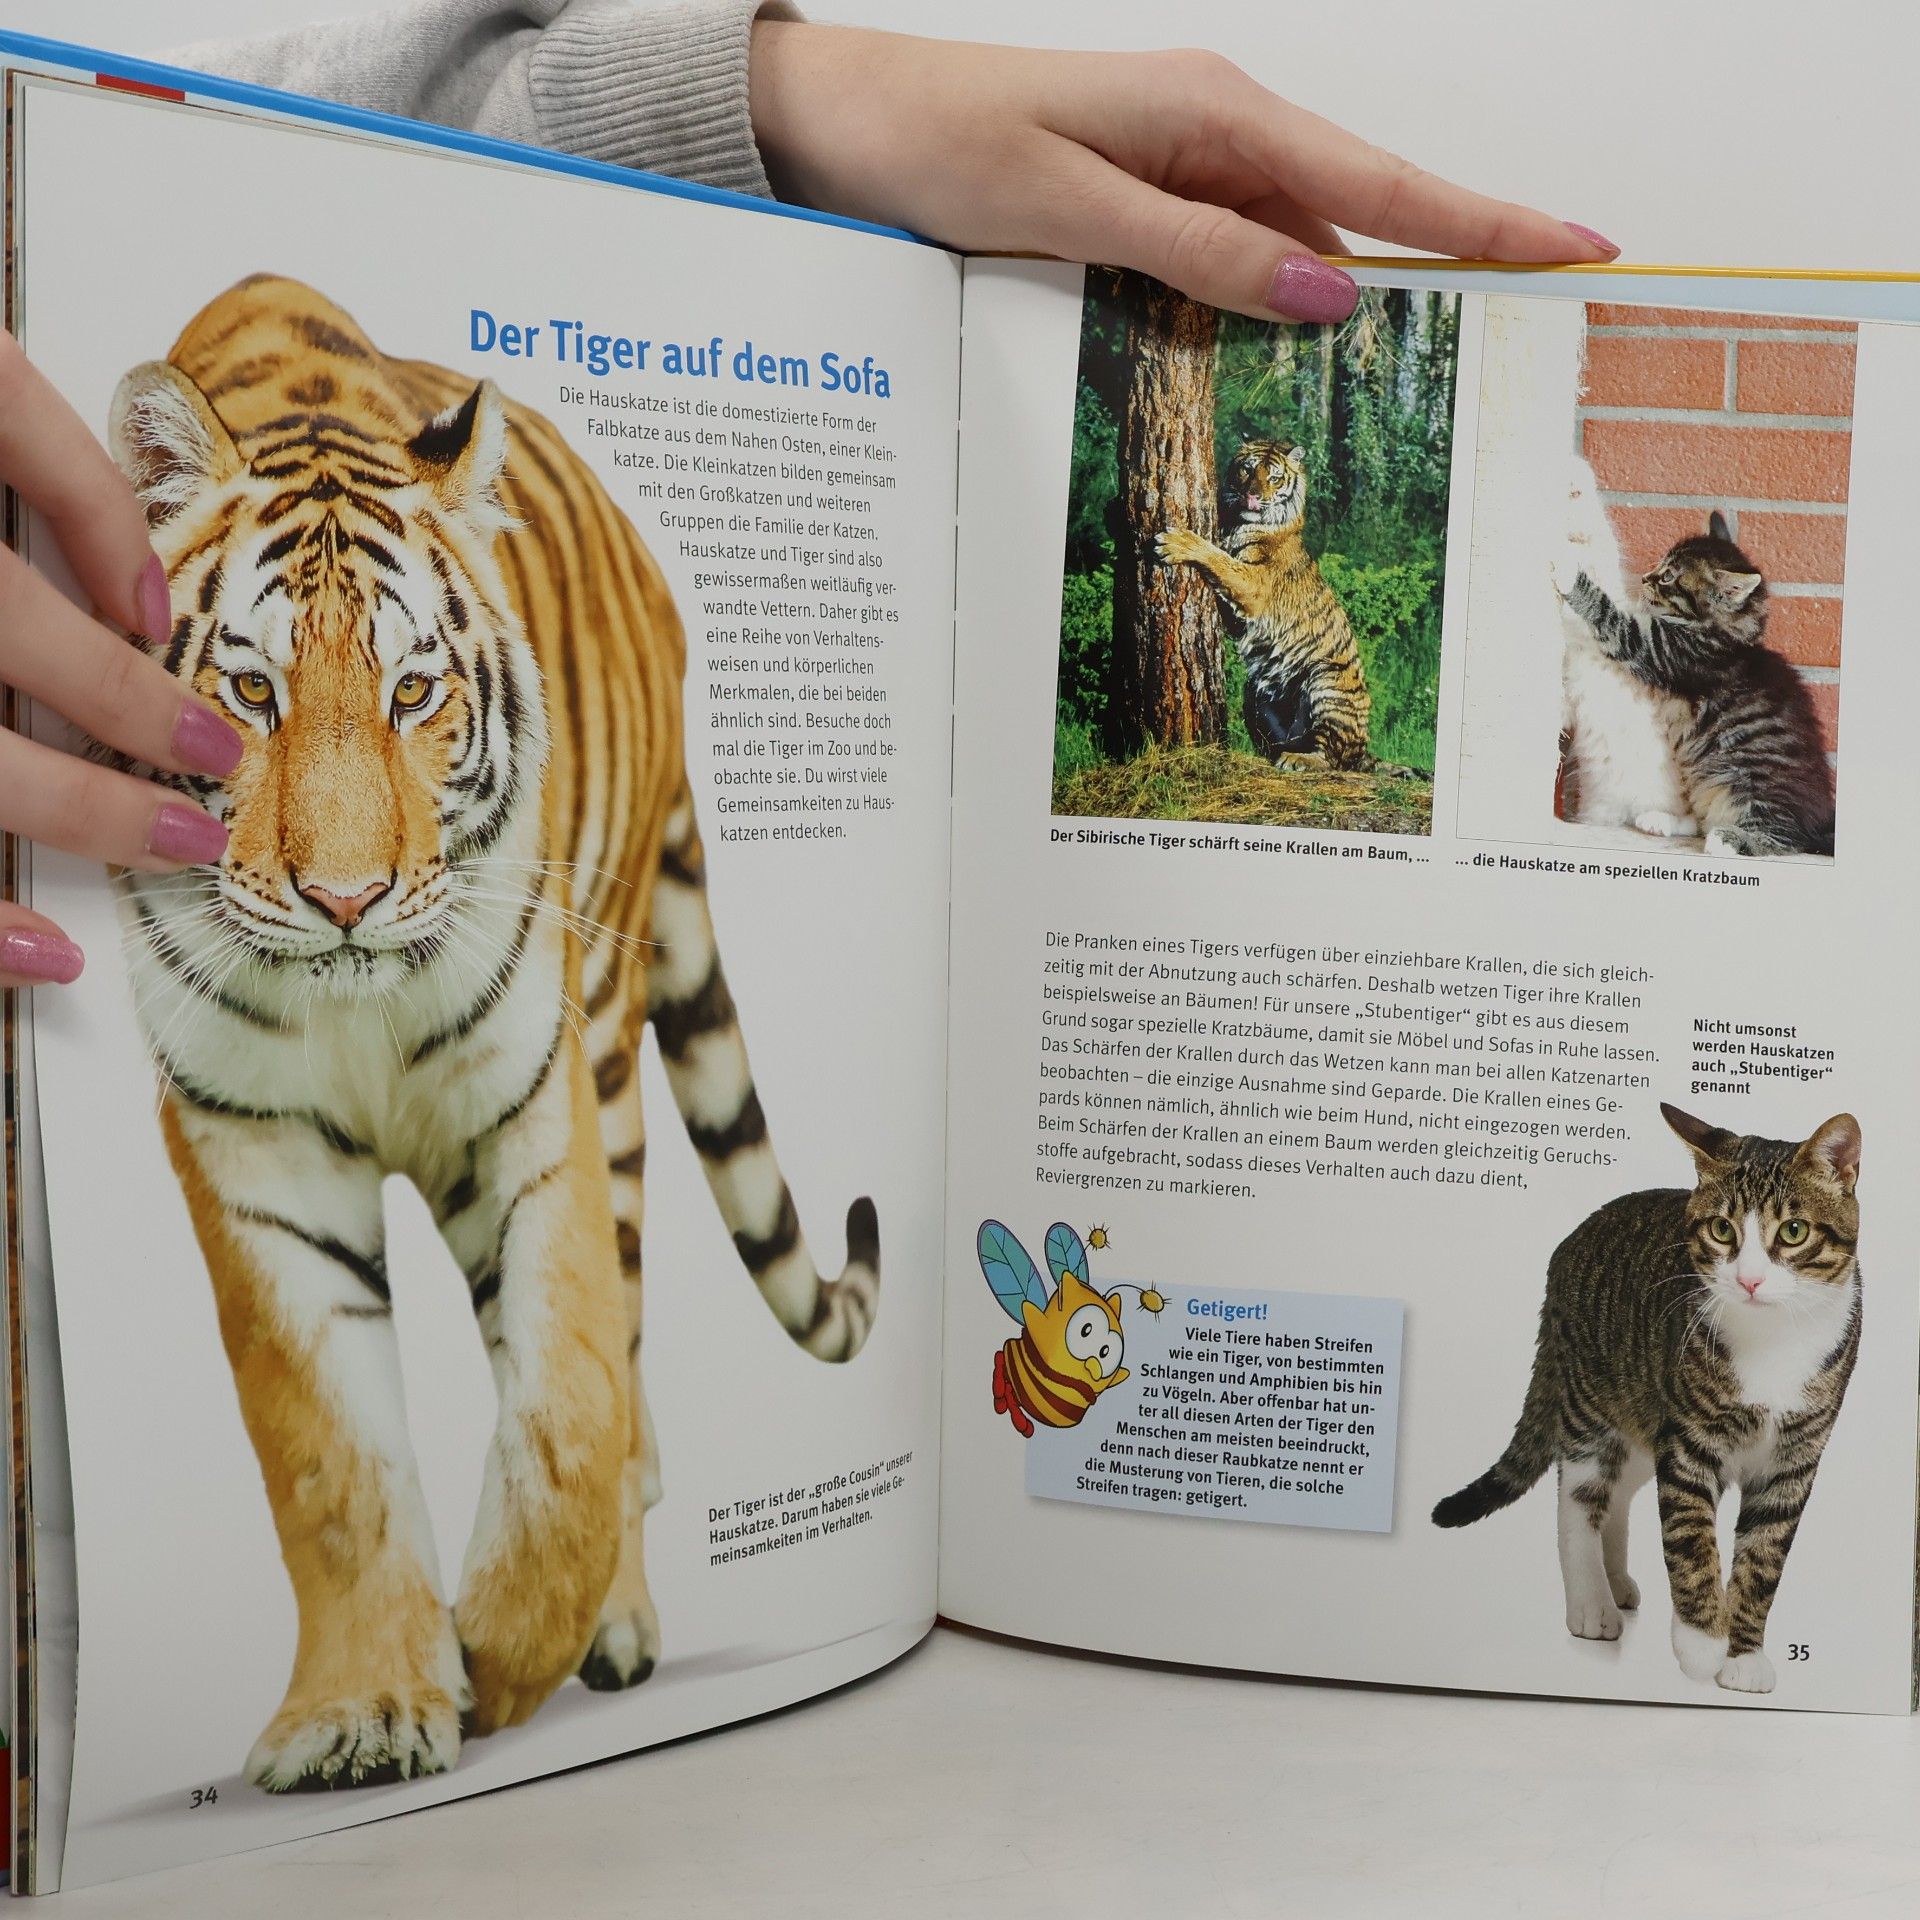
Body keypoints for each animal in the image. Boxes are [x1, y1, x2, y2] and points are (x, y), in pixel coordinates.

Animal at [105, 275, 880, 1791]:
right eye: (251, 692)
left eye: (412, 693)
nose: (345, 899)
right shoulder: (252, 1145)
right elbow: (326, 1446)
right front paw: (360, 1713)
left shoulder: (533, 1100)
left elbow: (570, 1396)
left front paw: (511, 1658)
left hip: (615, 1040)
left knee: (625, 1355)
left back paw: (619, 1625)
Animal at [1154, 437, 1372, 771]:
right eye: (1247, 470)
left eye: (1274, 478)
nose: (1252, 495)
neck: (1236, 523)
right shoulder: (1239, 616)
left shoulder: (1254, 587)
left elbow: (1219, 558)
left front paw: (1179, 541)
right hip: (1255, 693)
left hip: (1326, 680)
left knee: (1332, 756)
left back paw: (1297, 759)